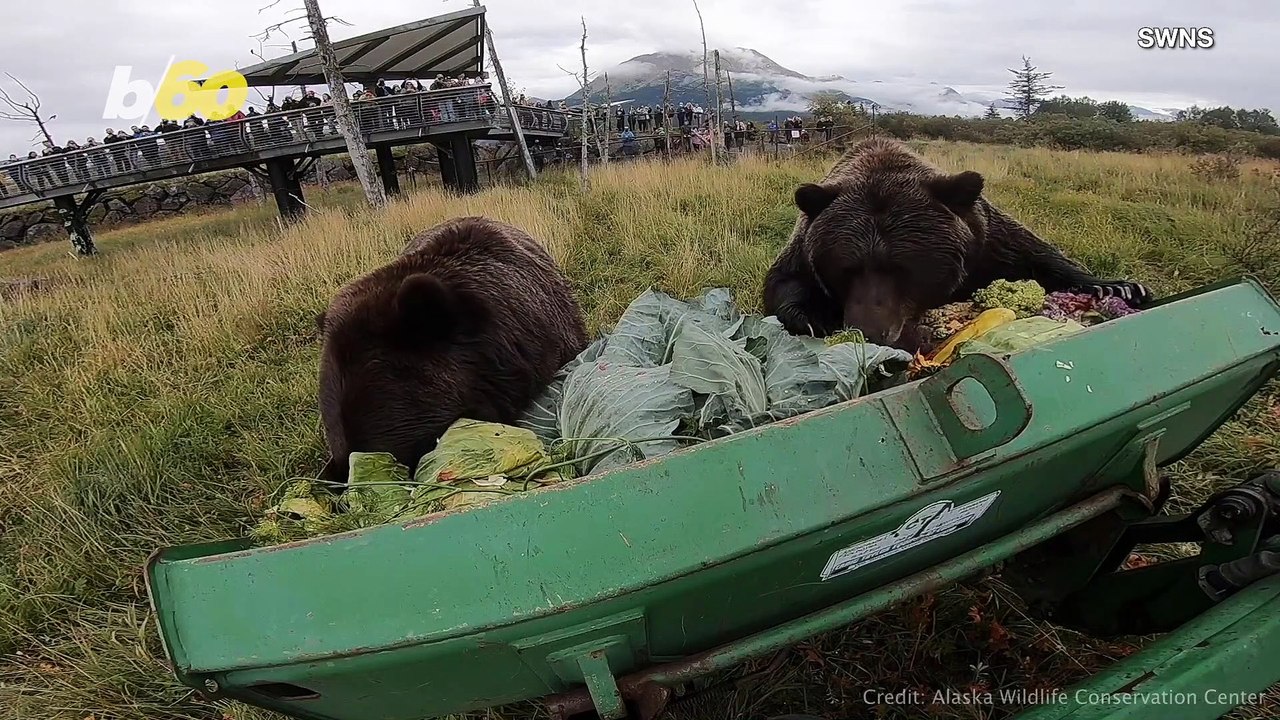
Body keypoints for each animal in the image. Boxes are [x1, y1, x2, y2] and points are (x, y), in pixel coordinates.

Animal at [761, 136, 1152, 350]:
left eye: (903, 269)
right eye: (847, 269)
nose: (870, 331)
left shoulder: (987, 243)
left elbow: (1040, 256)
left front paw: (1119, 287)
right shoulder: (805, 247)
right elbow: (784, 282)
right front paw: (813, 318)